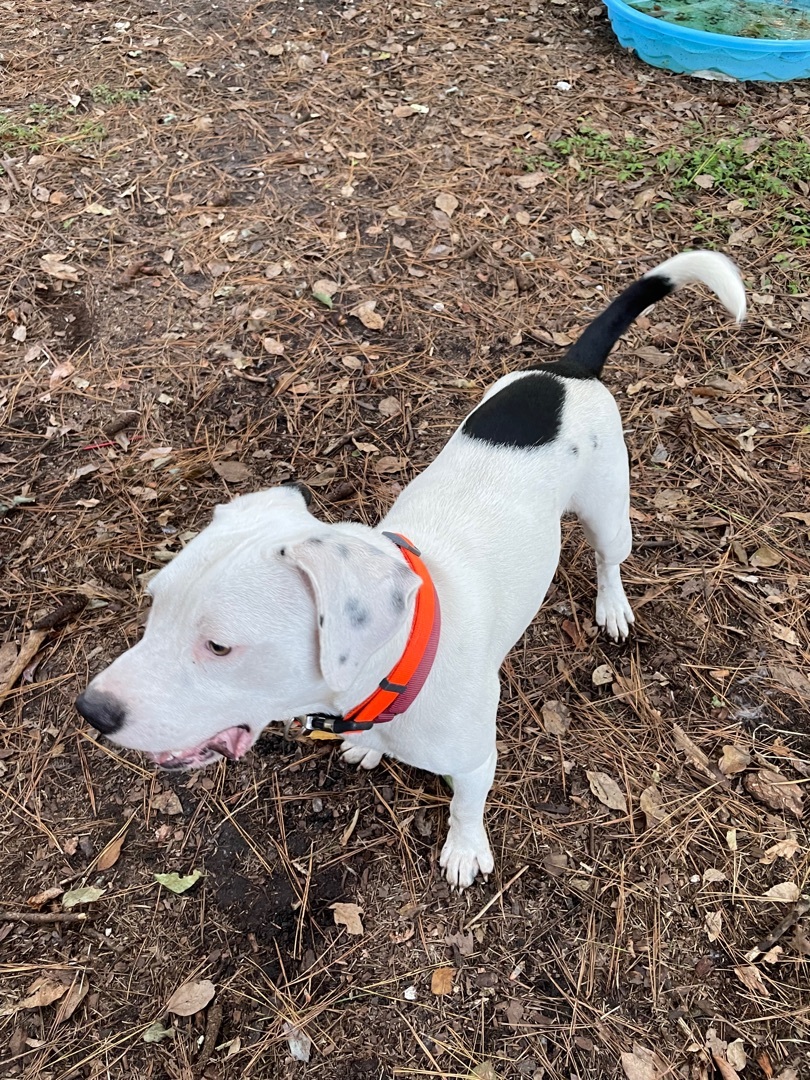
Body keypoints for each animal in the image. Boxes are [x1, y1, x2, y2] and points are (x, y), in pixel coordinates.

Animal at [79, 250, 747, 885]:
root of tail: (570, 367)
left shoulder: (475, 759)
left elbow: (465, 806)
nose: (91, 711)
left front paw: (464, 850)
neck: (394, 667)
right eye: (154, 606)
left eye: (219, 646)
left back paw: (612, 606)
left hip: (608, 510)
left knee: (609, 559)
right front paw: (371, 751)